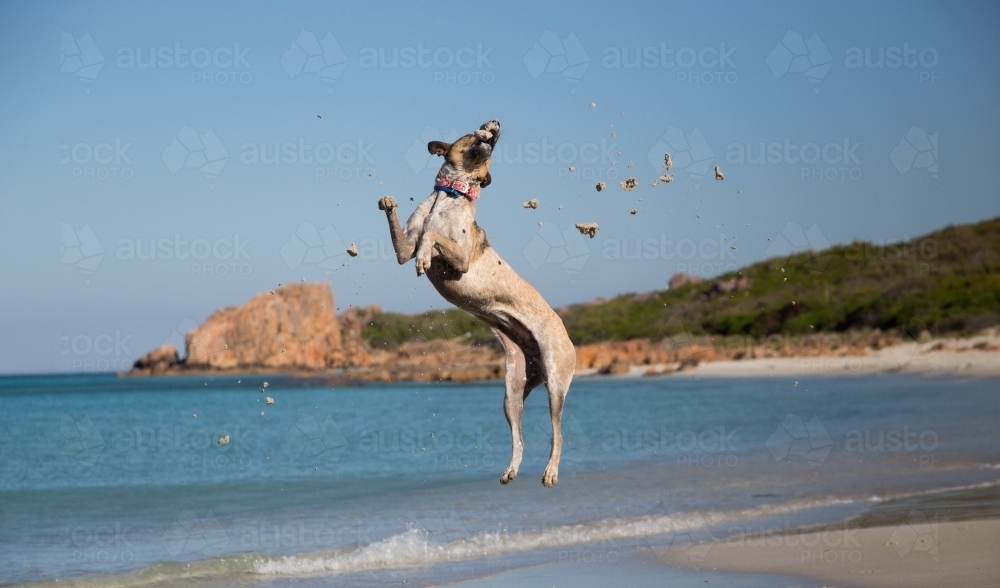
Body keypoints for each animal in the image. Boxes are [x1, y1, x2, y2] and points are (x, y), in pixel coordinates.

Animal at [376, 120, 580, 486]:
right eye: (476, 131)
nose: (495, 125)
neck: (448, 195)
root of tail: (568, 337)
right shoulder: (403, 247)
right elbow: (412, 238)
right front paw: (388, 203)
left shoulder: (460, 259)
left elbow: (432, 238)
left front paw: (425, 257)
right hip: (512, 392)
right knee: (519, 436)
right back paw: (511, 470)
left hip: (556, 382)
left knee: (557, 433)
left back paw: (551, 472)